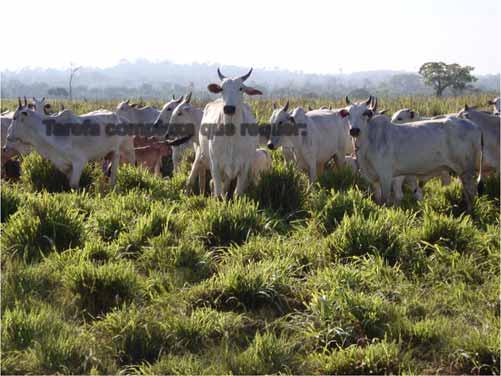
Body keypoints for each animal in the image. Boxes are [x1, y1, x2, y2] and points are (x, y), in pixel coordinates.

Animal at [5, 104, 133, 187]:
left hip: (120, 151)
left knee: (116, 172)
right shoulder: (63, 165)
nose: (8, 136)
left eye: (14, 117)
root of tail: (117, 116)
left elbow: (73, 185)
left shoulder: (79, 161)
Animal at [344, 96, 480, 212]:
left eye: (364, 113)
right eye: (348, 114)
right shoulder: (373, 179)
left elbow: (386, 201)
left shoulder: (386, 176)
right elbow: (378, 199)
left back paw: (470, 212)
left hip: (466, 170)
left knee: (471, 192)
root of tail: (473, 126)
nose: (354, 130)